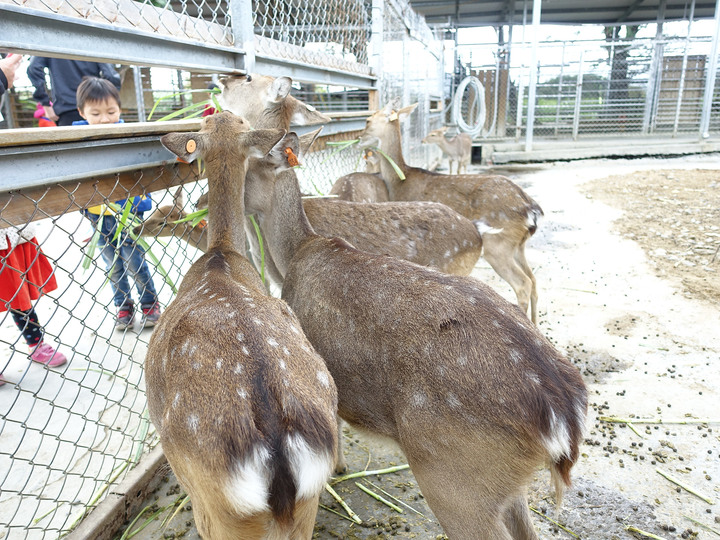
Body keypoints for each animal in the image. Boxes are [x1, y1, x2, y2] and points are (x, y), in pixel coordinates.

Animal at [358, 103, 544, 322]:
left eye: (368, 120)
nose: (359, 138)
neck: (400, 181)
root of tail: (531, 208)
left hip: (498, 244)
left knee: (523, 284)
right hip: (519, 244)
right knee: (534, 280)